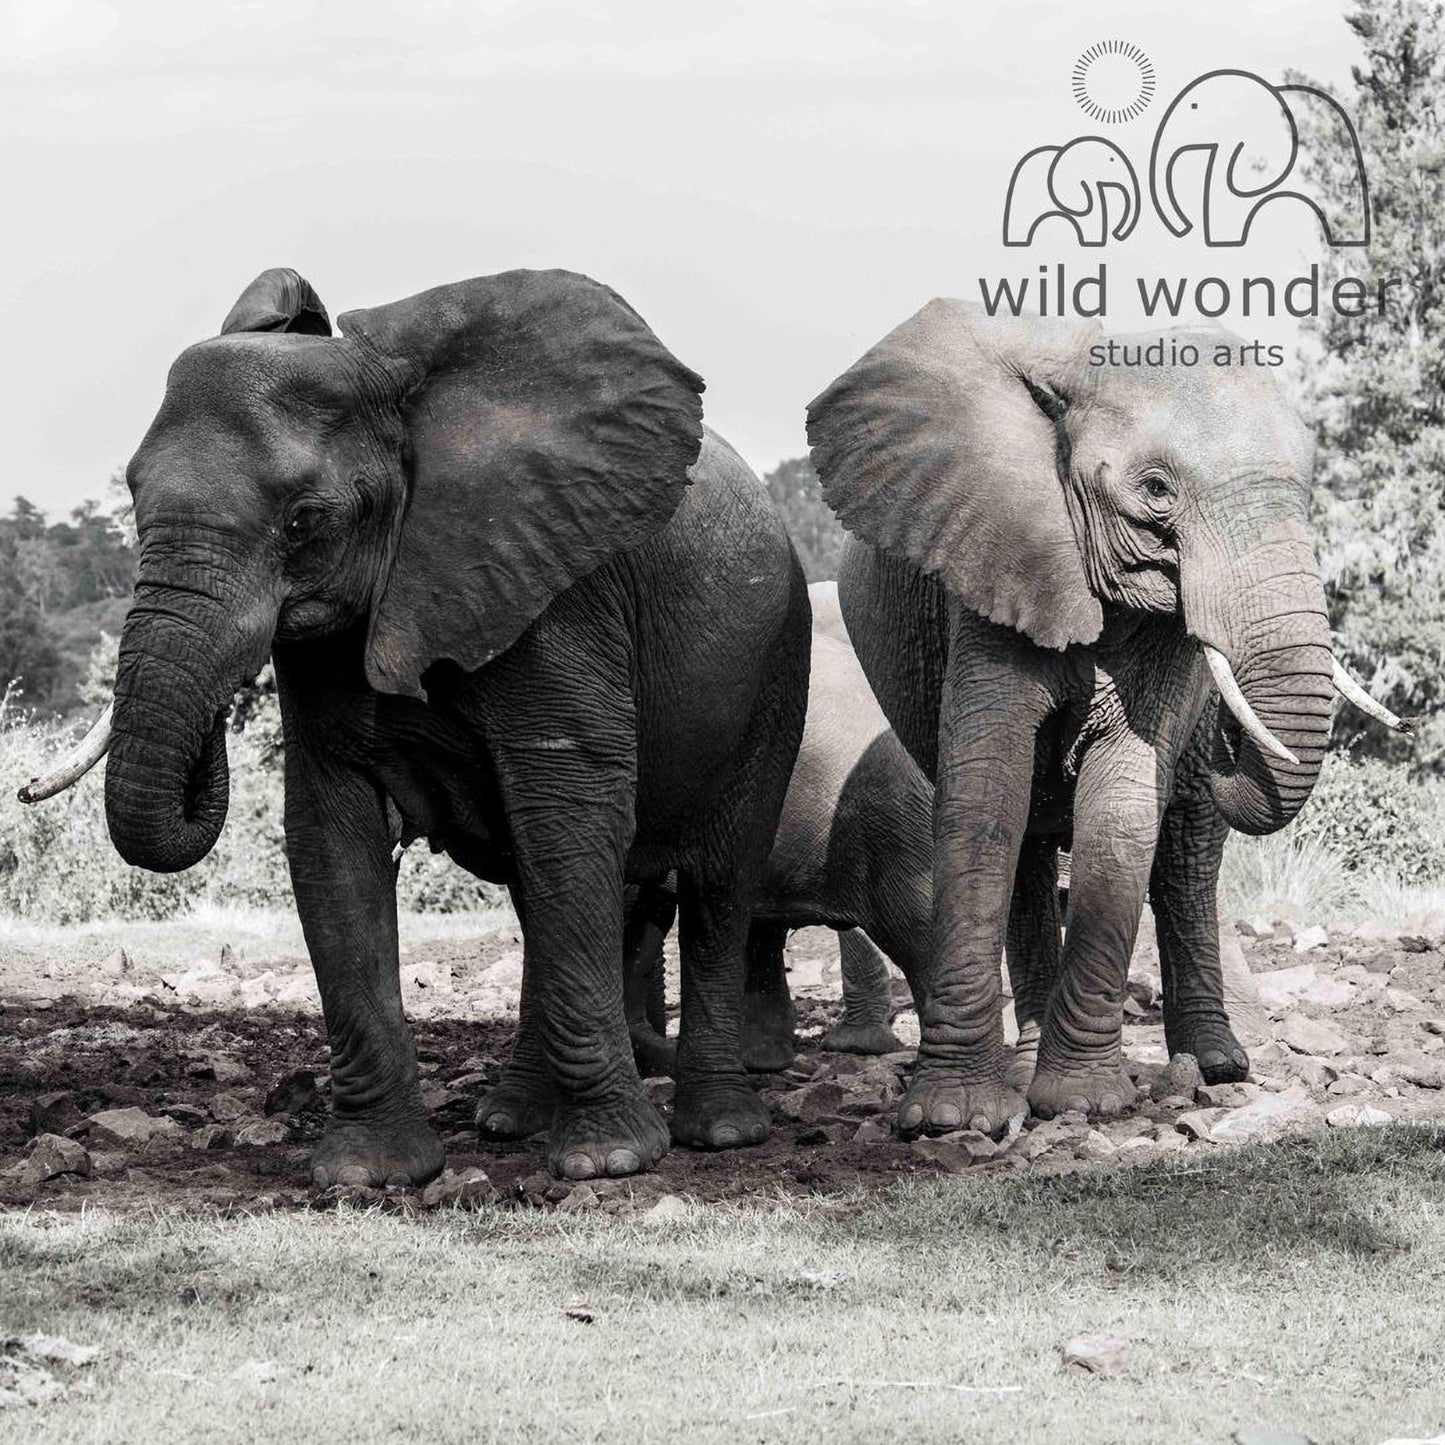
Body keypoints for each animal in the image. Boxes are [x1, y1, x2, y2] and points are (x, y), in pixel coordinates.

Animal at [24, 266, 812, 1186]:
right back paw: (510, 1119)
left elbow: (571, 810)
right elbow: (332, 833)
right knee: (538, 889)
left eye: (304, 519)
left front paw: (609, 1159)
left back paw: (718, 1131)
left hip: (778, 650)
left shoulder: (556, 587)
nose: (25, 785)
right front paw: (369, 1173)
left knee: (720, 874)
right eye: (133, 493)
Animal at [806, 299, 1398, 1136]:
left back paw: (1215, 1067)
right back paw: (1024, 1067)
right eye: (1154, 489)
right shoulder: (988, 554)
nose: (1225, 741)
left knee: (1184, 858)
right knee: (1026, 844)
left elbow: (1122, 797)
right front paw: (954, 1116)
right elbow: (985, 788)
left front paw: (1081, 1101)